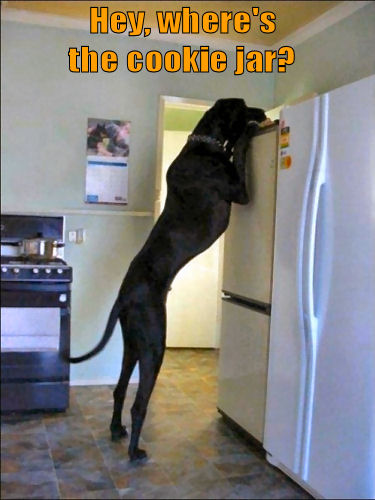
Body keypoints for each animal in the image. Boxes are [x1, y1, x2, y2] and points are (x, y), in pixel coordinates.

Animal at [70, 99, 268, 462]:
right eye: (243, 105)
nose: (262, 113)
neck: (204, 144)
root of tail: (123, 296)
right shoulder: (240, 191)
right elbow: (240, 155)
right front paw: (246, 134)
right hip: (153, 344)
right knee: (139, 404)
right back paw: (135, 452)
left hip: (133, 344)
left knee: (120, 389)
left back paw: (116, 430)